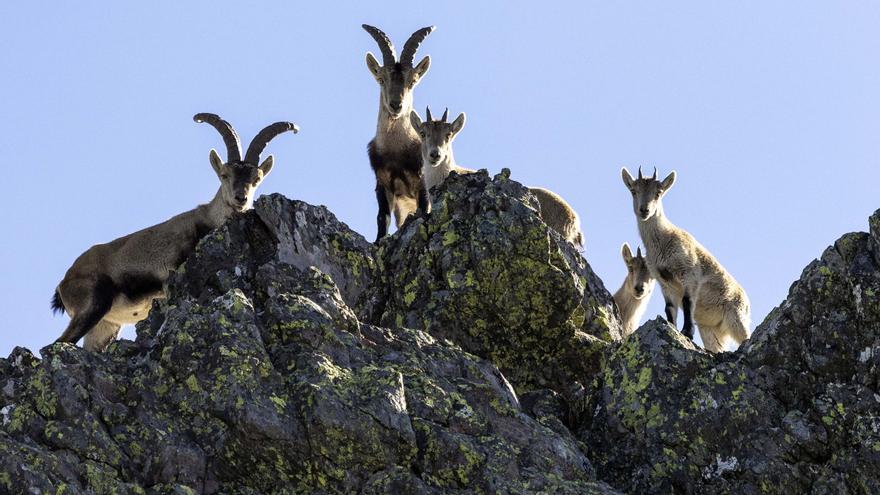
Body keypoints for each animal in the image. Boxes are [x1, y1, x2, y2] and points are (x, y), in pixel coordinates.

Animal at [52, 114, 300, 350]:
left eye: (256, 179)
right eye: (224, 174)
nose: (241, 198)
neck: (208, 218)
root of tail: (65, 281)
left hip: (106, 325)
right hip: (92, 305)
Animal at [362, 24, 434, 241]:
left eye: (412, 81)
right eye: (381, 79)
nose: (396, 105)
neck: (396, 150)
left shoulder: (421, 182)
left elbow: (424, 209)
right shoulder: (383, 184)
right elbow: (382, 218)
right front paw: (379, 241)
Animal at [620, 168, 748, 352]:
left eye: (658, 193)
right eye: (633, 191)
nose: (644, 210)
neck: (663, 240)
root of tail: (746, 301)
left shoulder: (689, 273)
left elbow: (687, 302)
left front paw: (687, 332)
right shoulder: (665, 282)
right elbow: (669, 309)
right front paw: (672, 328)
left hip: (736, 318)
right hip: (711, 330)